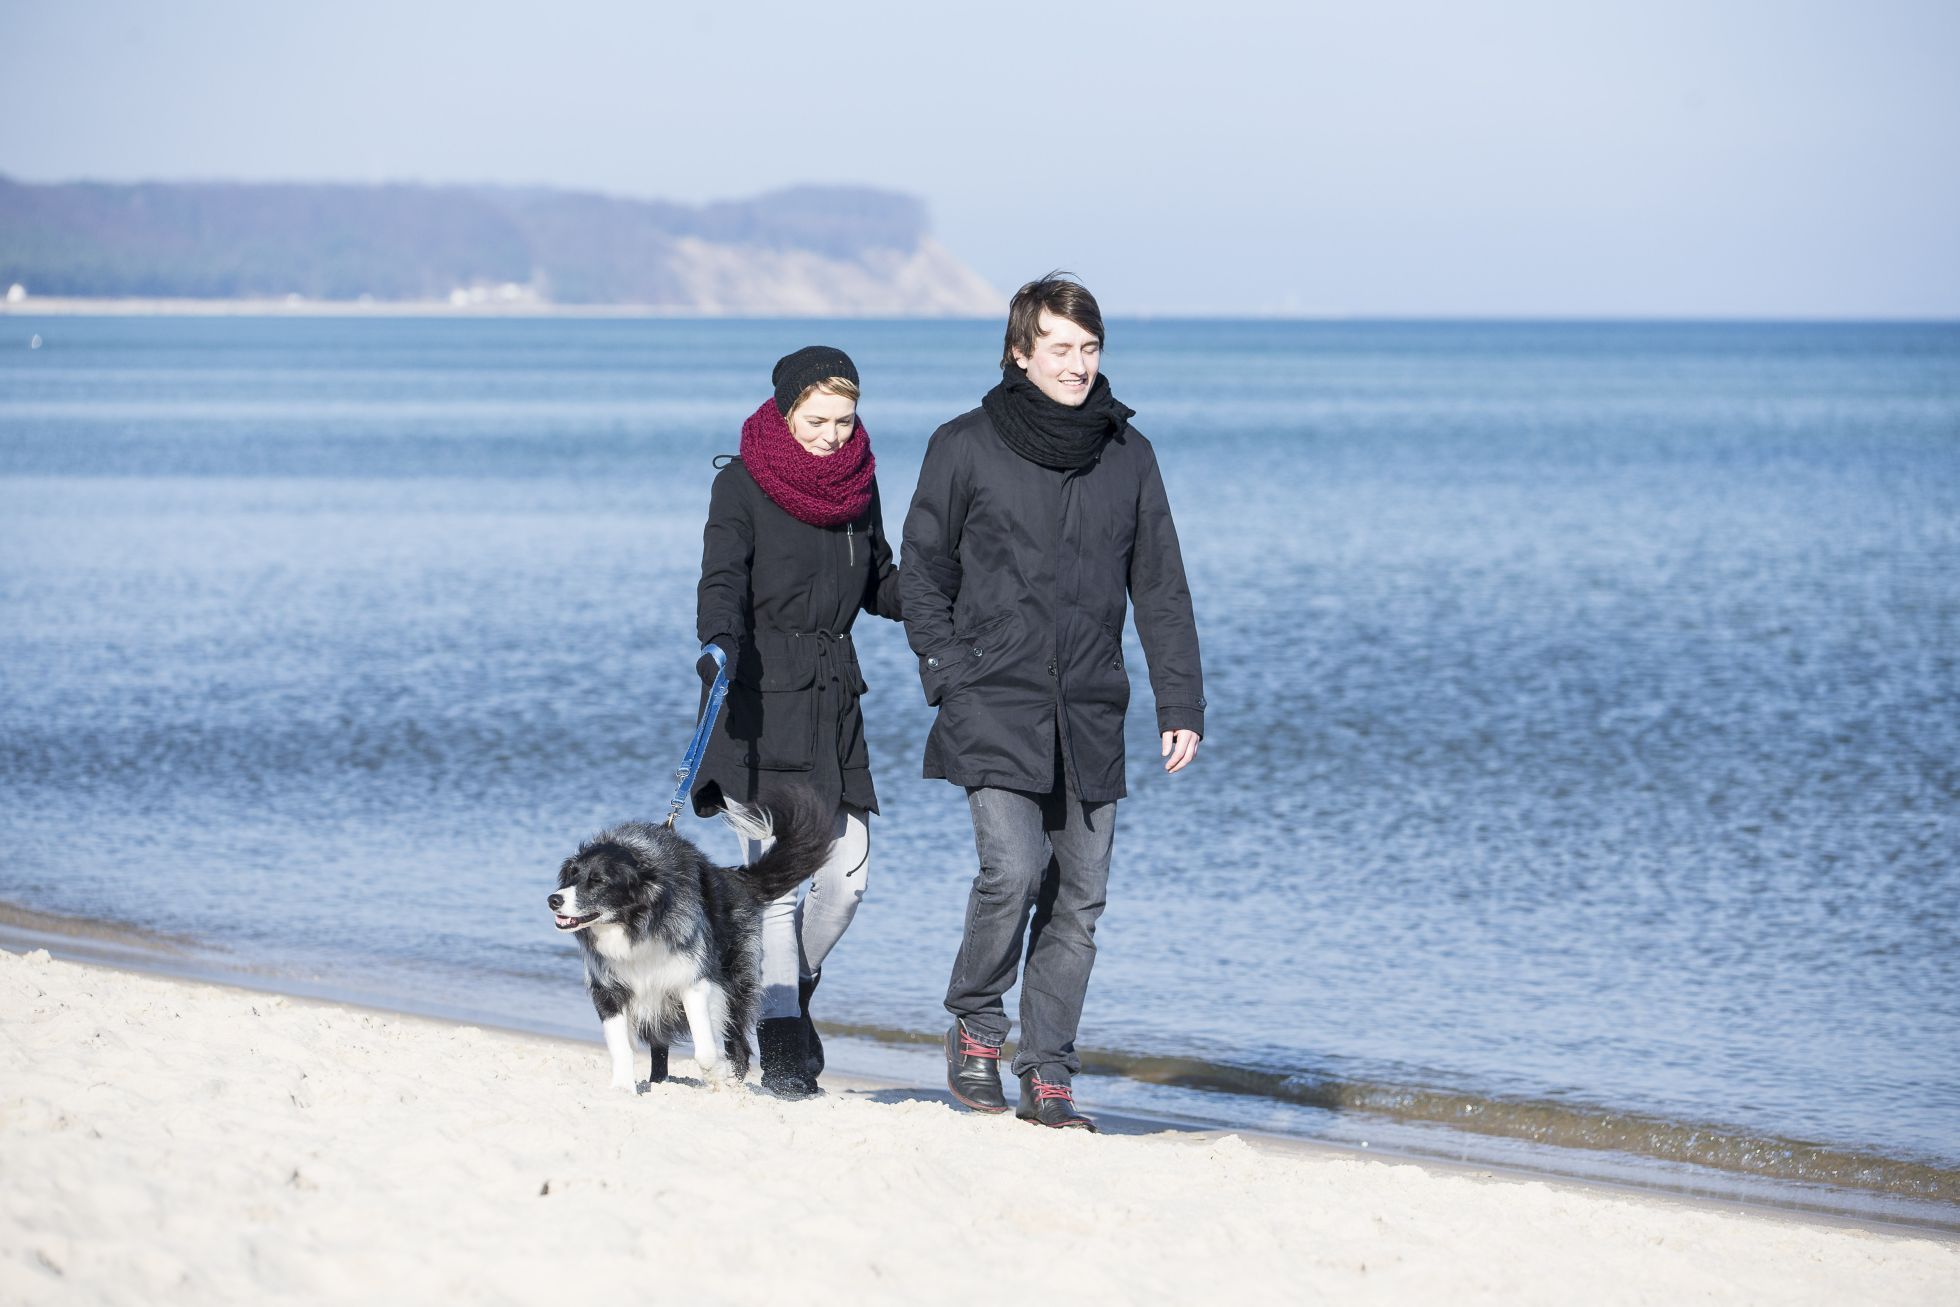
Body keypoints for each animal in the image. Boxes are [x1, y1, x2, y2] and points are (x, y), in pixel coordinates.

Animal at [544, 791, 834, 1089]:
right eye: (571, 876)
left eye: (598, 881)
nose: (553, 900)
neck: (635, 924)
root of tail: (735, 878)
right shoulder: (608, 987)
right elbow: (620, 1046)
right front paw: (623, 1088)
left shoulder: (692, 978)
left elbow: (705, 1049)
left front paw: (718, 1074)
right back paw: (660, 1081)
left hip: (735, 977)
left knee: (736, 1038)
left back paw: (733, 1081)